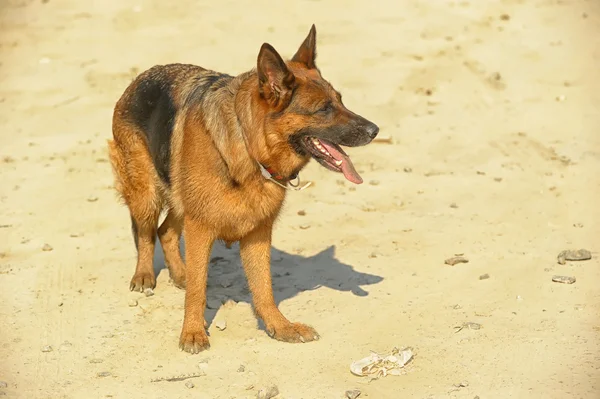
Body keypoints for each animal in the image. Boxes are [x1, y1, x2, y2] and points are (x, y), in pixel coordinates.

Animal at [108, 25, 380, 354]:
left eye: (340, 101)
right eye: (324, 109)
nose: (375, 131)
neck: (250, 148)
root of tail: (140, 78)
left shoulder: (257, 233)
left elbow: (264, 288)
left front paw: (280, 327)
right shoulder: (201, 228)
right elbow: (198, 291)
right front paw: (192, 332)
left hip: (181, 201)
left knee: (166, 232)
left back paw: (180, 273)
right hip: (147, 195)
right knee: (146, 233)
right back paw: (145, 275)